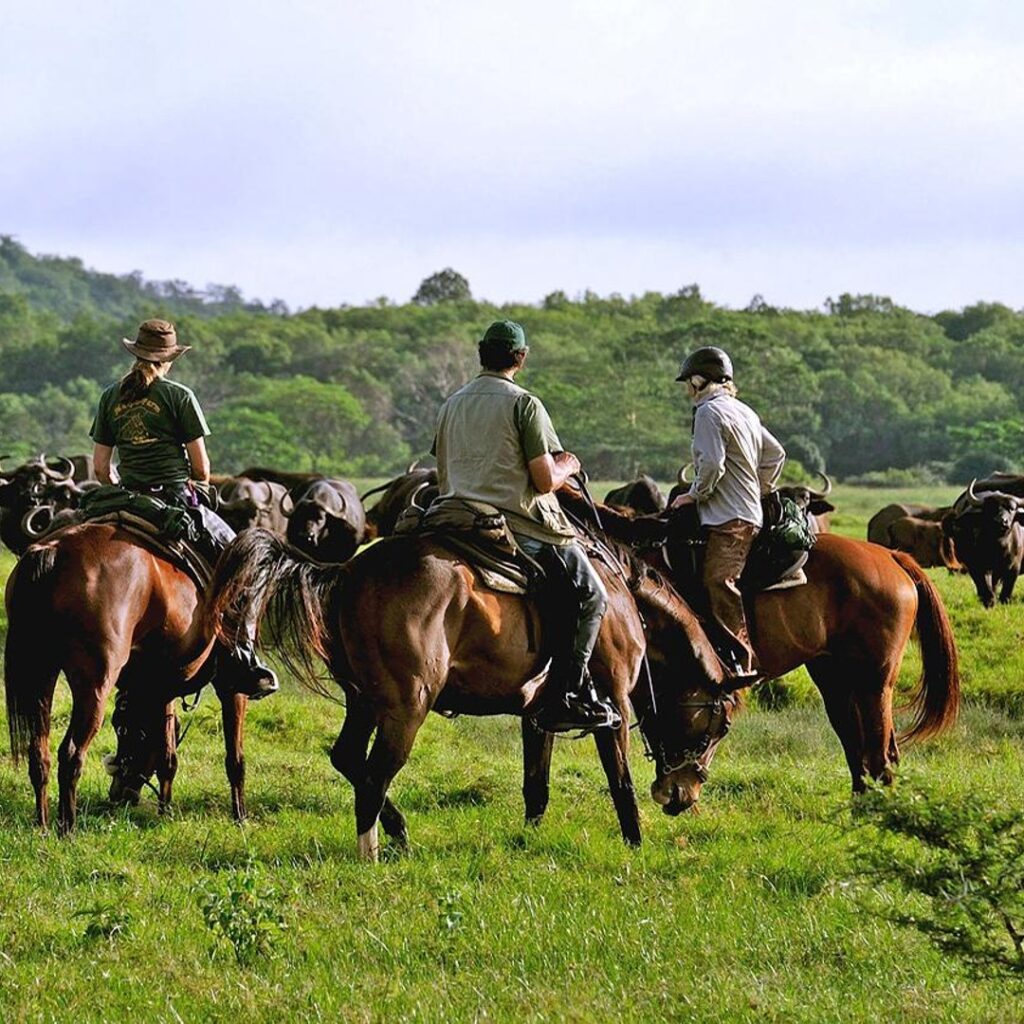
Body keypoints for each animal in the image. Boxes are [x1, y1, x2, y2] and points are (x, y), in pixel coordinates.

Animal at [3, 522, 249, 833]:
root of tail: (53, 552)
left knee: (39, 754)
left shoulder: (161, 688)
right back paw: (67, 829)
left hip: (42, 676)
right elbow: (235, 757)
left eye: (126, 731)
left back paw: (44, 825)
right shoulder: (232, 686)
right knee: (71, 755)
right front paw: (240, 817)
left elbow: (168, 752)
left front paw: (165, 812)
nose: (119, 794)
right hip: (94, 685)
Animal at [206, 527, 727, 860]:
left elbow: (536, 785)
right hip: (405, 707)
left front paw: (531, 839)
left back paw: (396, 830)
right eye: (715, 728)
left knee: (349, 758)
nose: (682, 796)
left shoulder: (538, 712)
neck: (622, 600)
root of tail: (349, 572)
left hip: (365, 702)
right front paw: (635, 842)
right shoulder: (613, 703)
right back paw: (370, 851)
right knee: (374, 774)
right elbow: (620, 780)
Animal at [557, 493, 962, 814]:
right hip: (834, 679)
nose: (677, 797)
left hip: (874, 682)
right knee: (857, 745)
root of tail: (892, 557)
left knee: (878, 752)